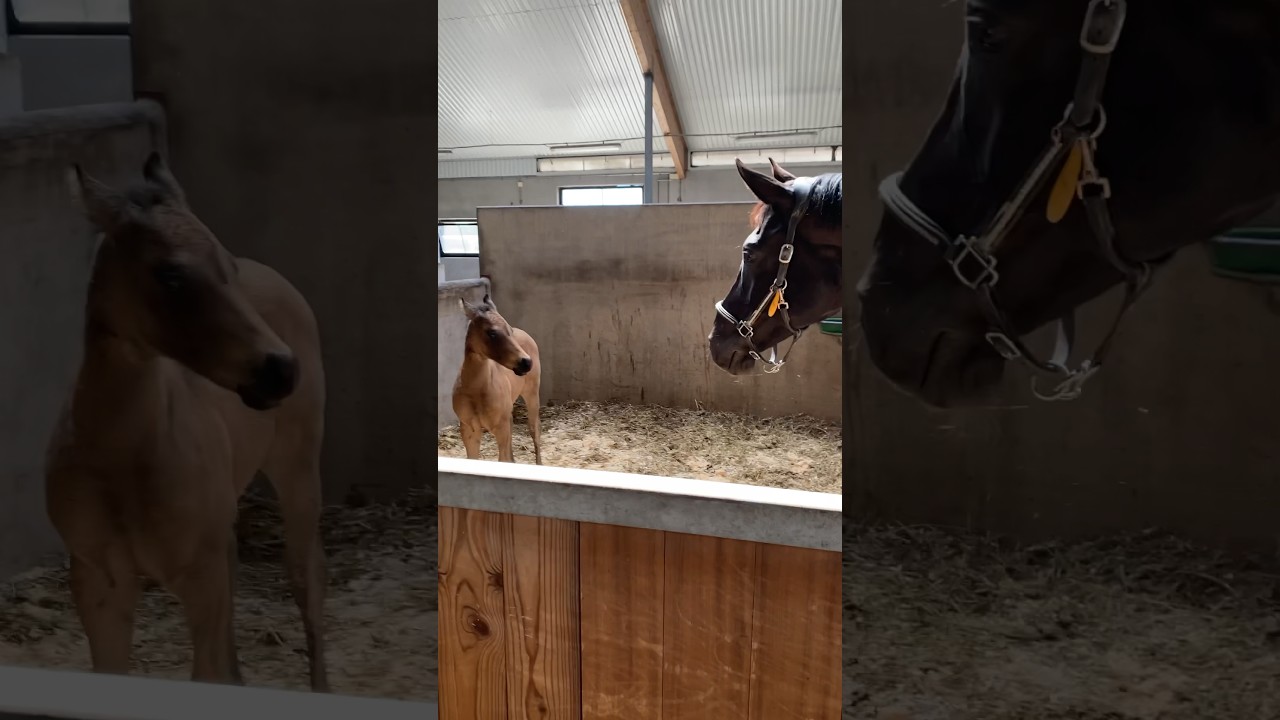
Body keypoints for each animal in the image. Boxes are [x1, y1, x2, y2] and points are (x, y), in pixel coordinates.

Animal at [44, 152, 329, 690]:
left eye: (227, 267)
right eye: (170, 275)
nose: (280, 370)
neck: (124, 460)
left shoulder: (199, 578)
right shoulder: (99, 581)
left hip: (297, 468)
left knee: (307, 580)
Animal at [452, 293, 543, 464]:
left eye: (509, 330)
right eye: (492, 333)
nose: (526, 362)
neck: (476, 390)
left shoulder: (500, 428)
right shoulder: (469, 429)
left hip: (532, 394)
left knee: (535, 429)